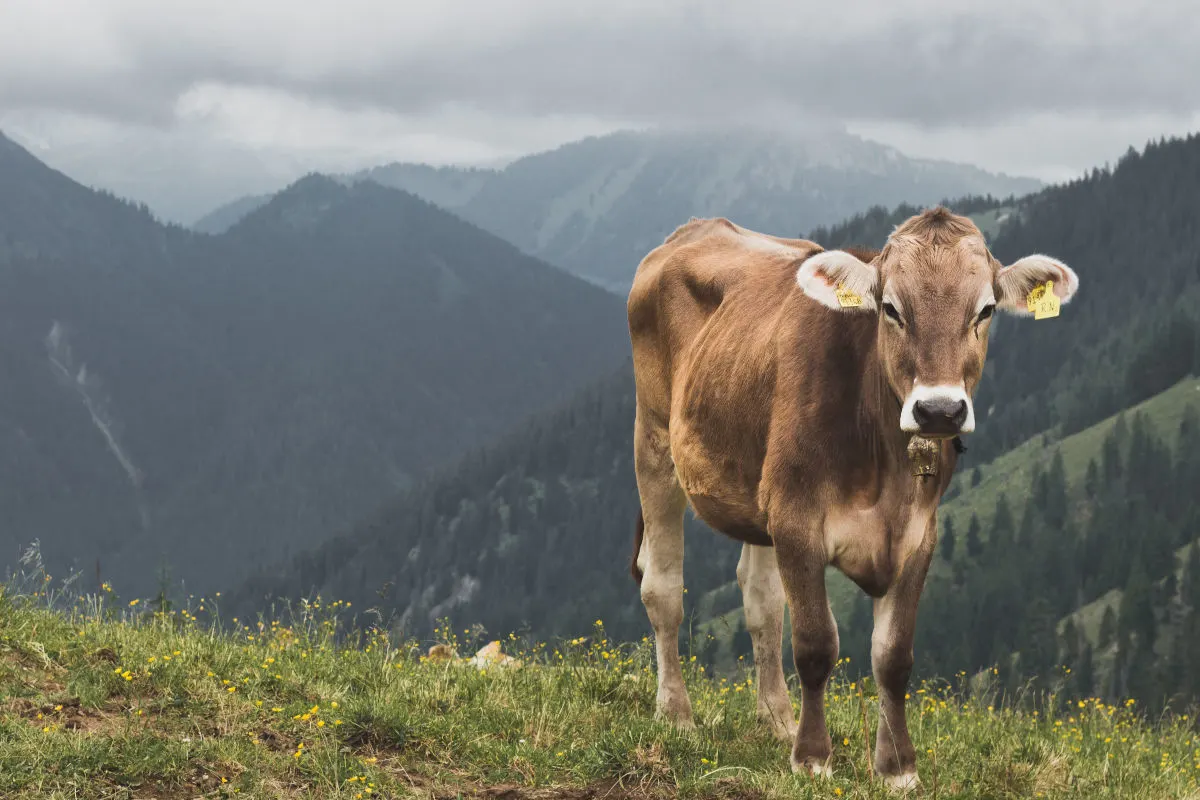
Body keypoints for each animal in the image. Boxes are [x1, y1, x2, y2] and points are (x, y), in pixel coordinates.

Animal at [626, 207, 1078, 790]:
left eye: (985, 309)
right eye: (891, 308)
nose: (939, 410)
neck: (884, 468)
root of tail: (698, 227)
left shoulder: (918, 536)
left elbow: (893, 656)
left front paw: (897, 767)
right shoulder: (796, 521)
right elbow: (817, 643)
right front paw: (813, 759)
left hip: (757, 488)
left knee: (760, 601)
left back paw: (777, 720)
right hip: (654, 441)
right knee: (663, 588)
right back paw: (677, 714)